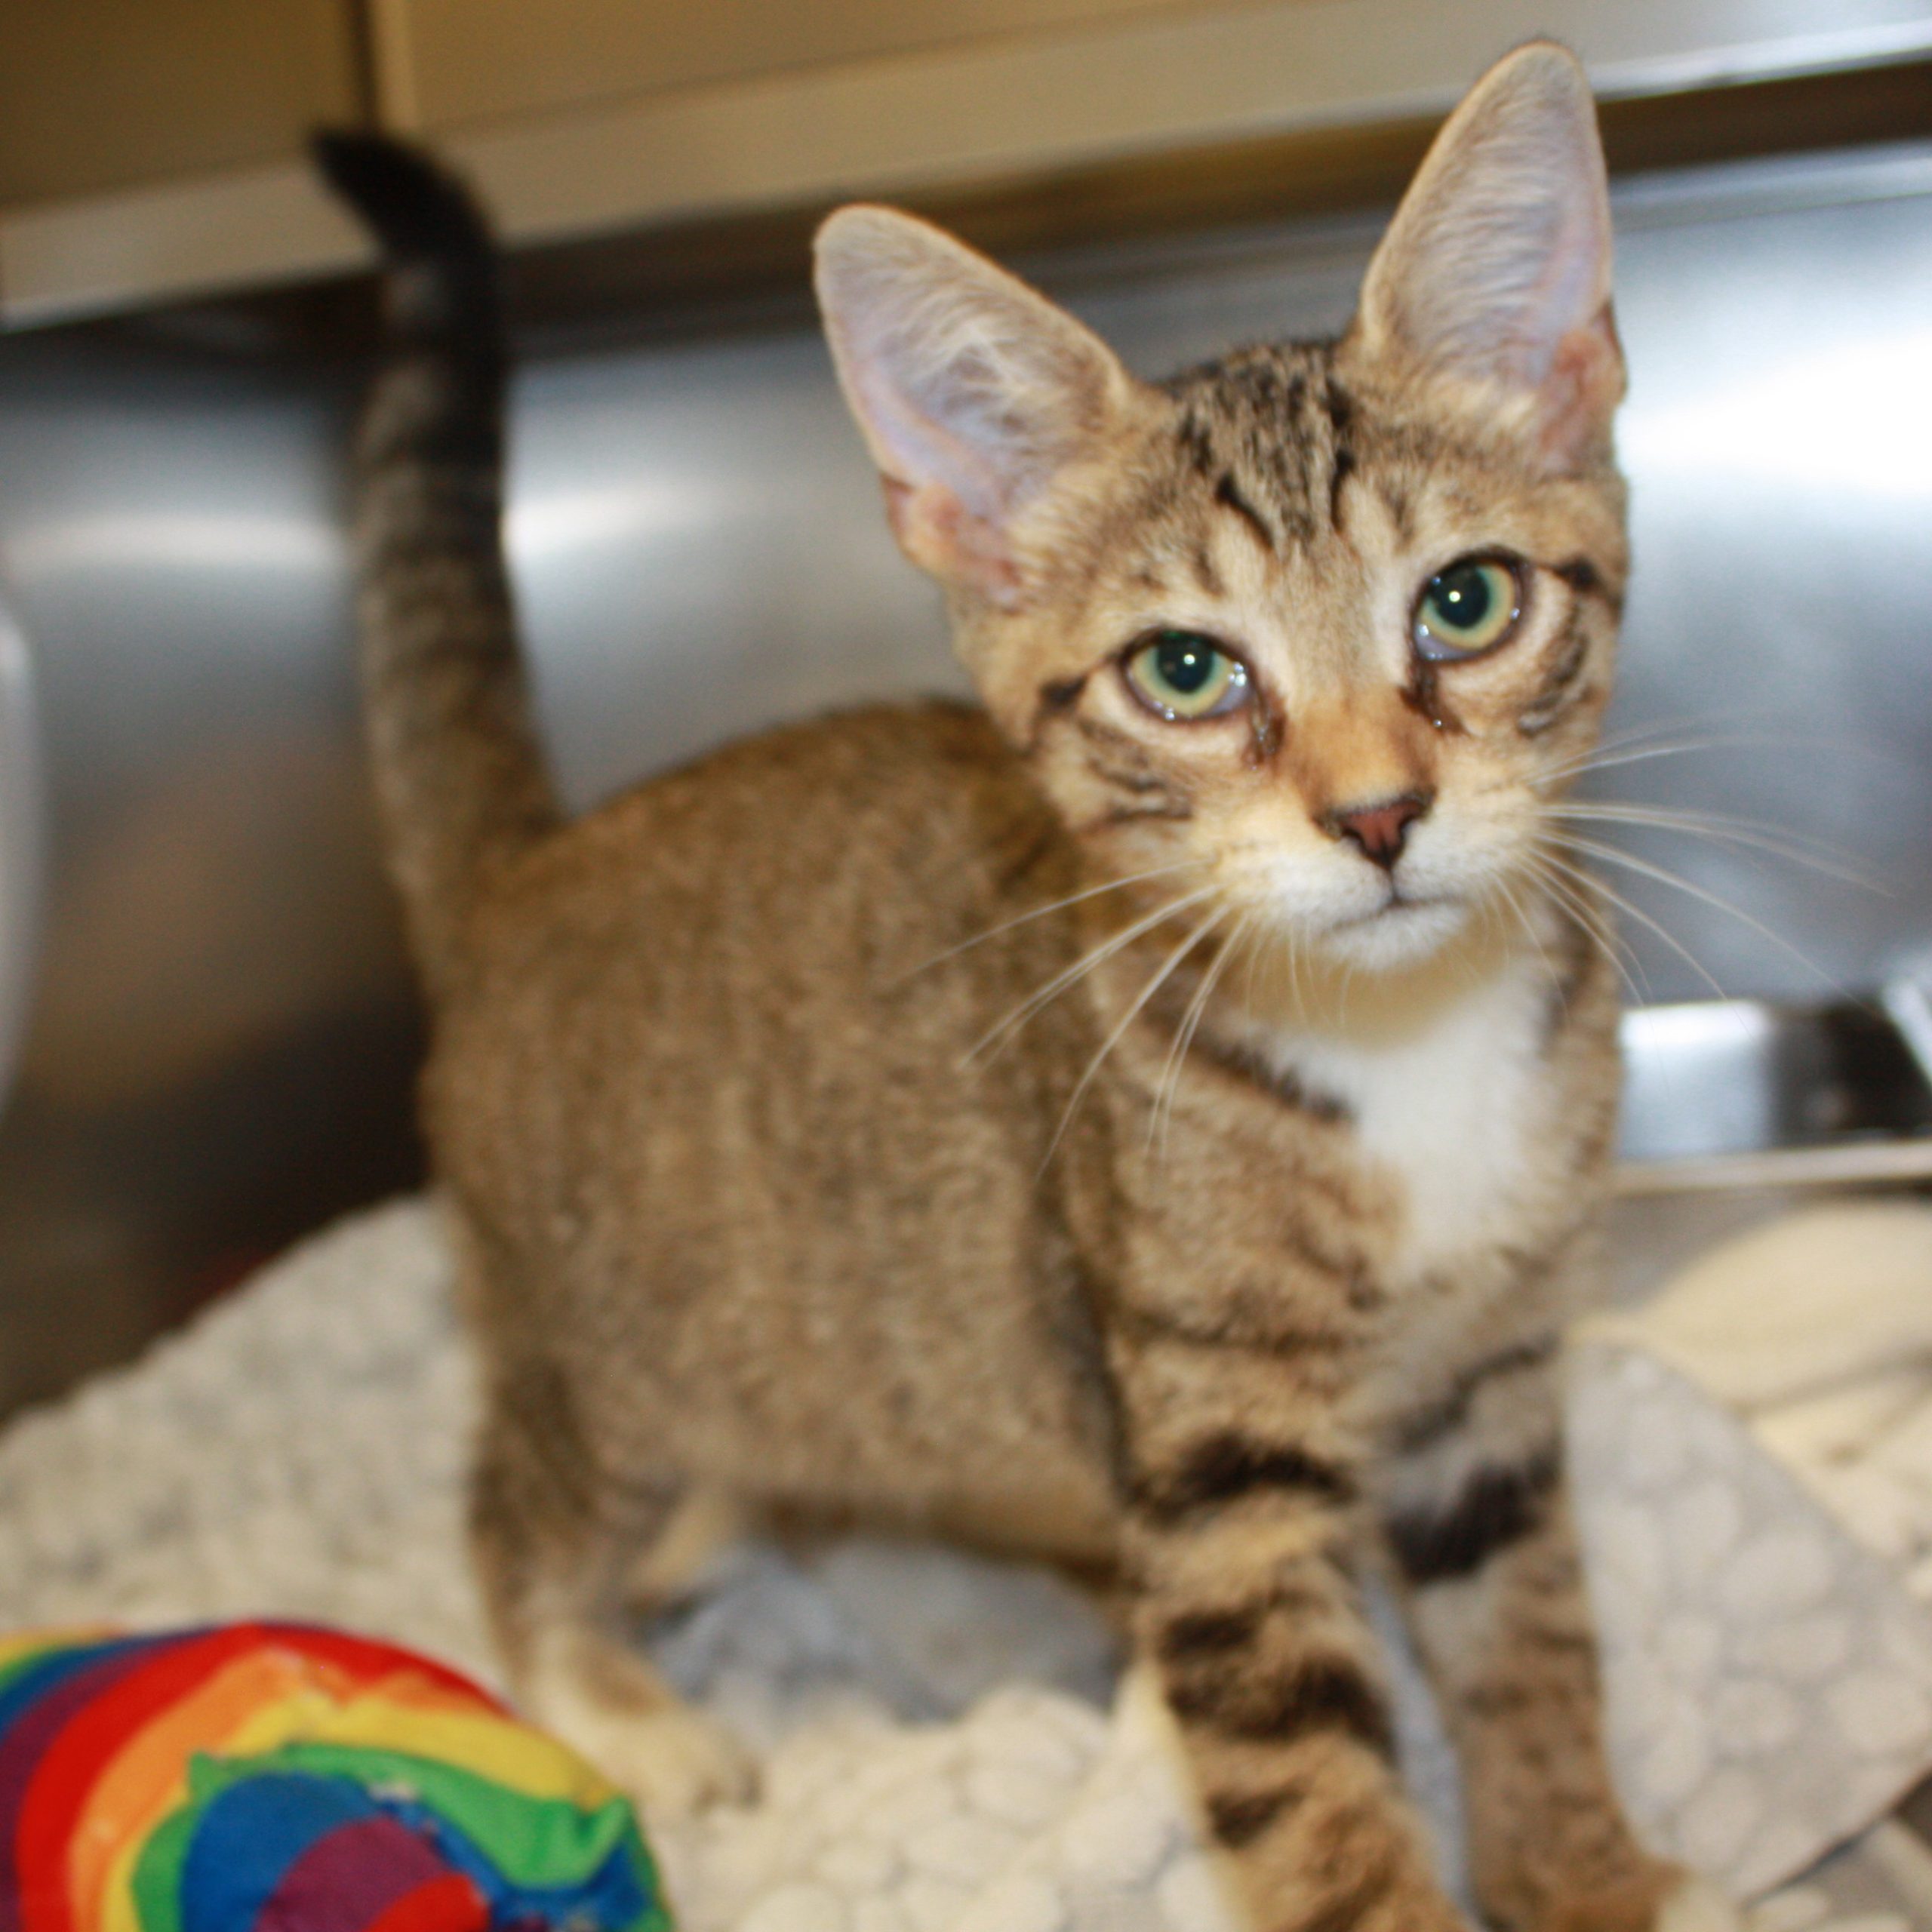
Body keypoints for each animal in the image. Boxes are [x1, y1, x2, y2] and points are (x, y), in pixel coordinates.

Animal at [318, 40, 1738, 1932]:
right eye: (1186, 672)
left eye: (1465, 599)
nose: (1376, 813)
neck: (1395, 1046)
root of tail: (527, 863)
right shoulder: (1208, 1448)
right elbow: (1309, 1792)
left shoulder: (1483, 1387)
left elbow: (1528, 1646)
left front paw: (1586, 1869)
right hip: (612, 1345)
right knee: (515, 1503)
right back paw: (616, 1699)